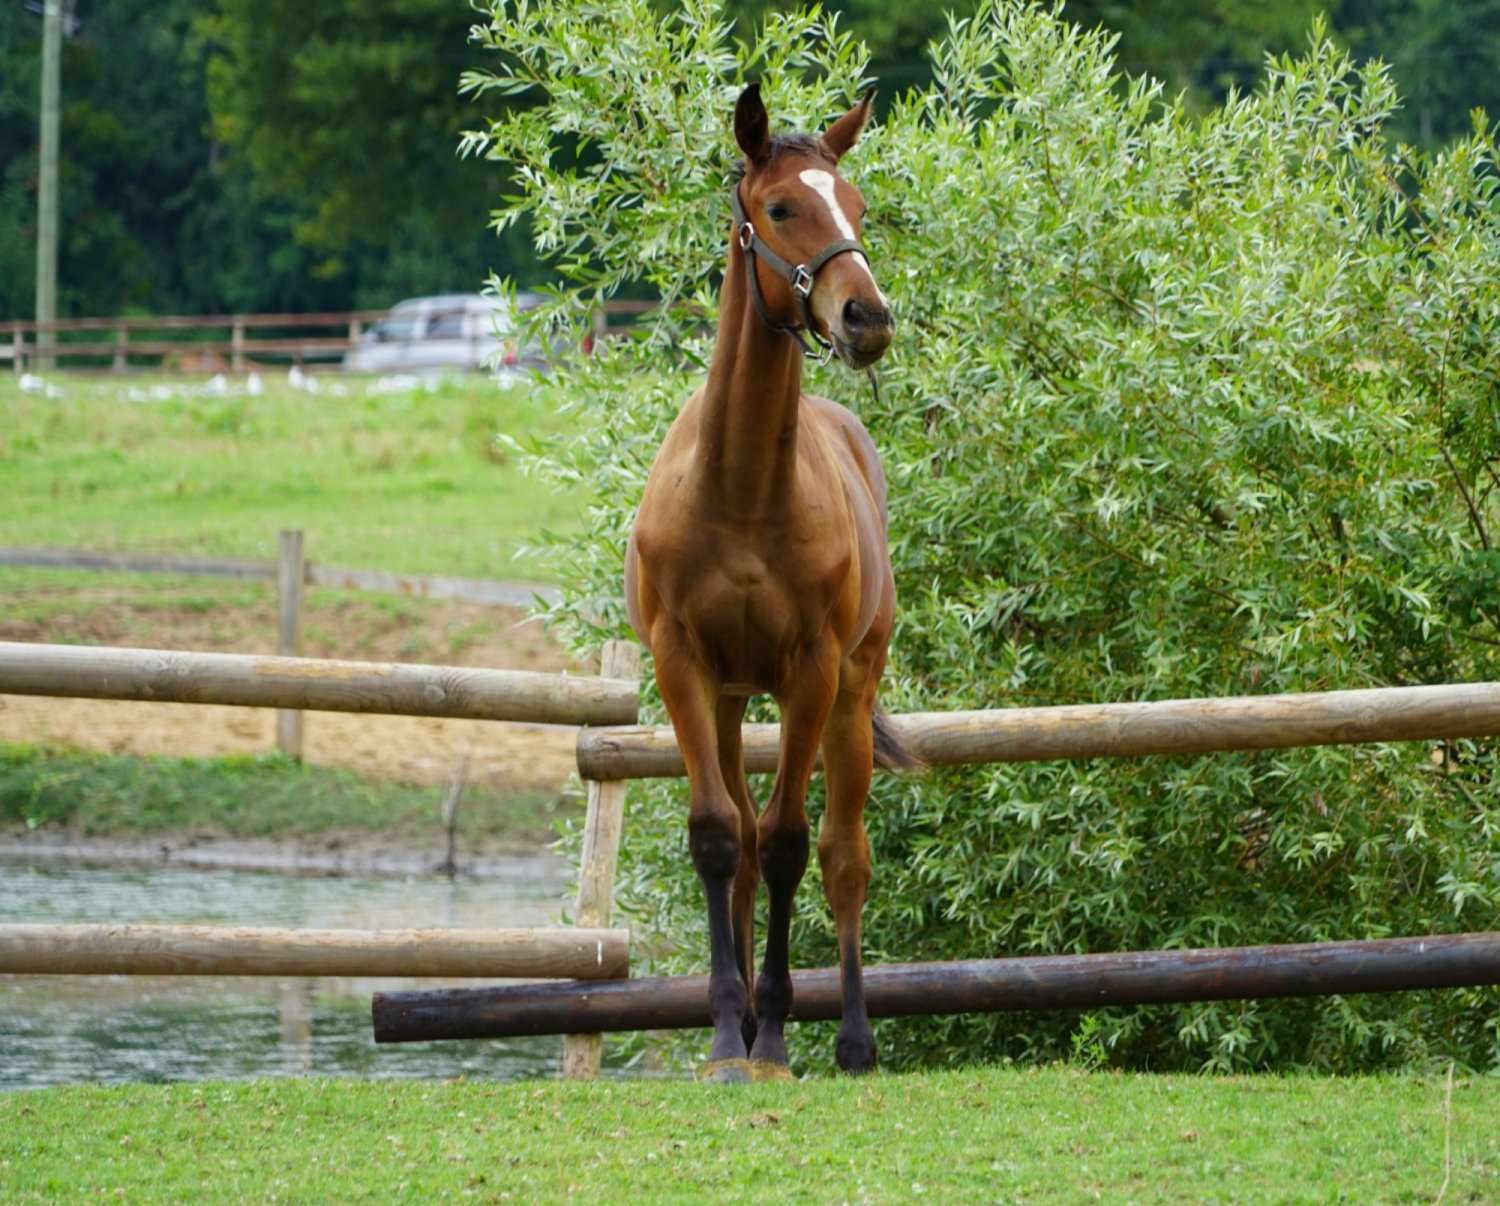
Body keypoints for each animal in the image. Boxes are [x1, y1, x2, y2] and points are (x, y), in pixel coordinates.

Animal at [625, 82, 918, 1083]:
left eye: (858, 204)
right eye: (782, 207)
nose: (867, 318)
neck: (745, 488)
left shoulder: (811, 670)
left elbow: (795, 844)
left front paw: (783, 1035)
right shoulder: (682, 665)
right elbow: (722, 838)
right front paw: (728, 1035)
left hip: (849, 692)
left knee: (844, 854)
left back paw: (856, 1040)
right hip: (727, 697)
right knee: (749, 843)